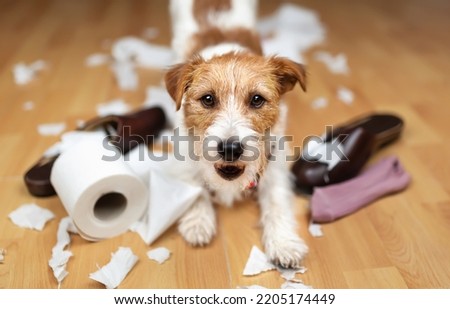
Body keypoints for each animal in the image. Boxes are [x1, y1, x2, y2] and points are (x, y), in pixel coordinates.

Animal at [163, 0, 308, 268]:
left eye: (257, 99)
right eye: (208, 99)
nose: (230, 149)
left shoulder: (275, 162)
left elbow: (276, 202)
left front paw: (283, 242)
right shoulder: (182, 154)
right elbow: (194, 185)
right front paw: (198, 222)